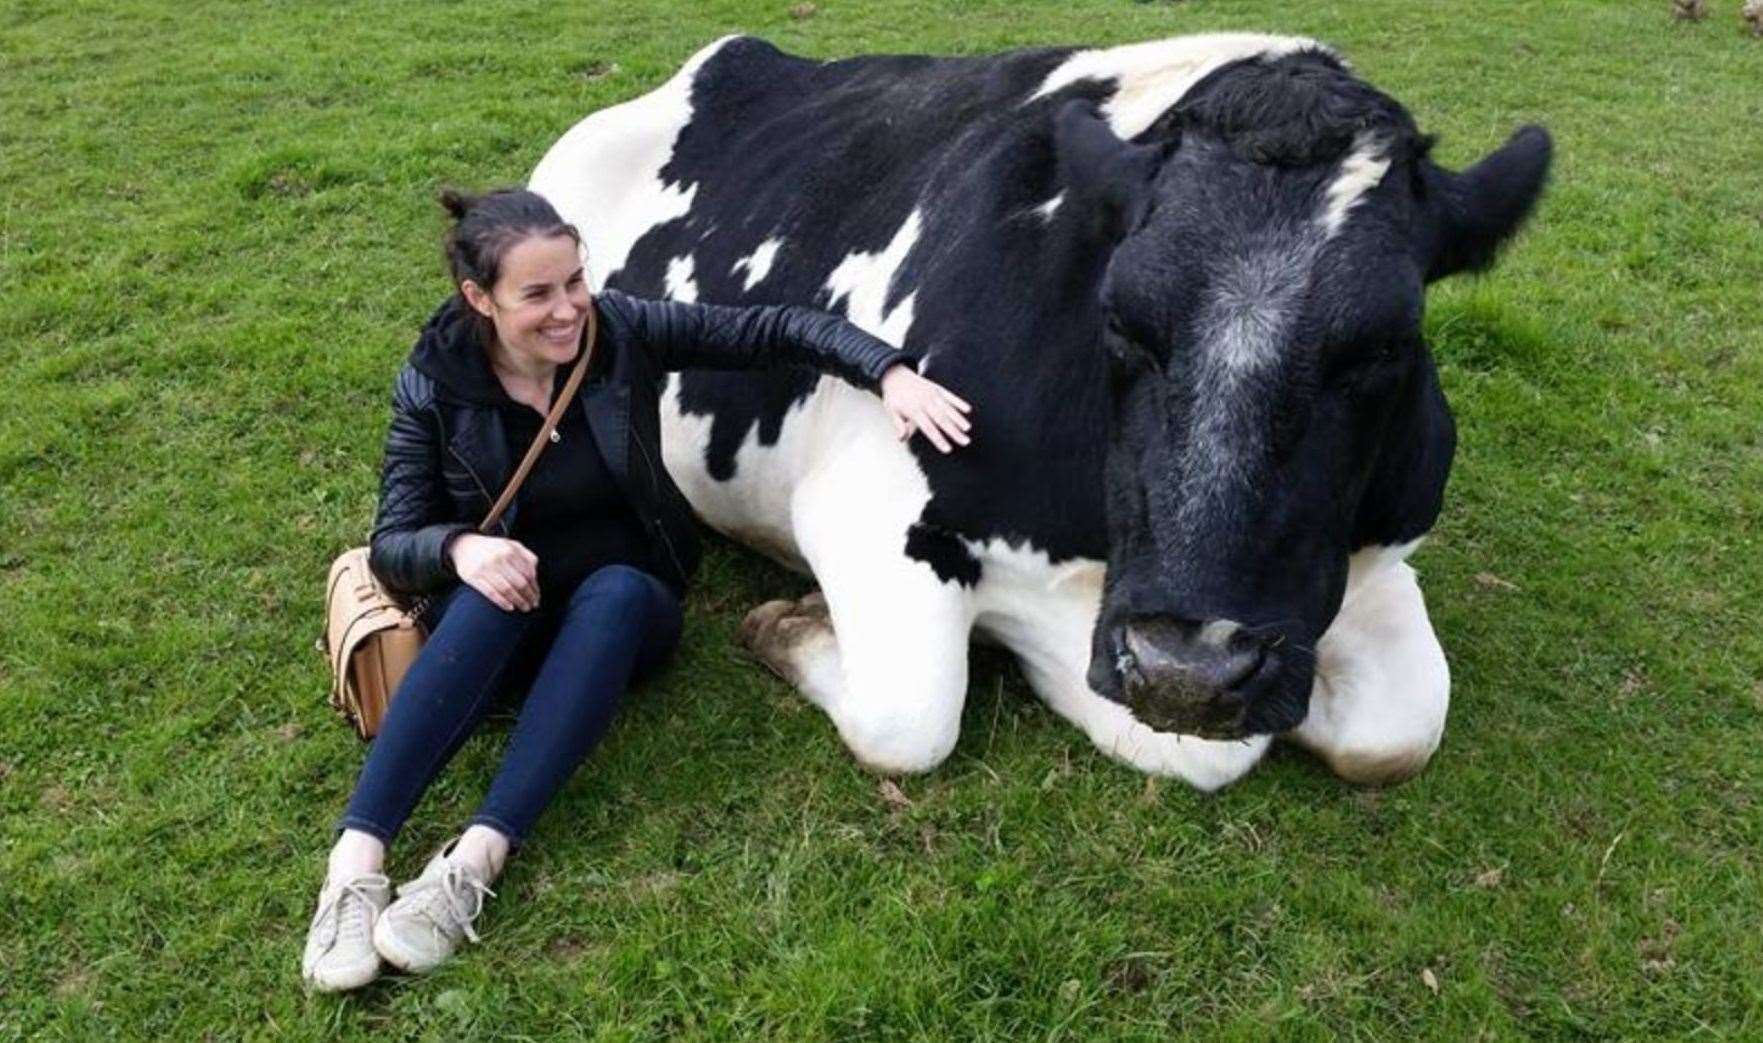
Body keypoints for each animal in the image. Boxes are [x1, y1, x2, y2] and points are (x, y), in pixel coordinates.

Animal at [528, 30, 1551, 789]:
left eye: (1385, 344)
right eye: (1120, 319)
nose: (1189, 672)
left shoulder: (1378, 551)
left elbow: (1397, 730)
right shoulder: (863, 509)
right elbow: (912, 718)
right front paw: (790, 624)